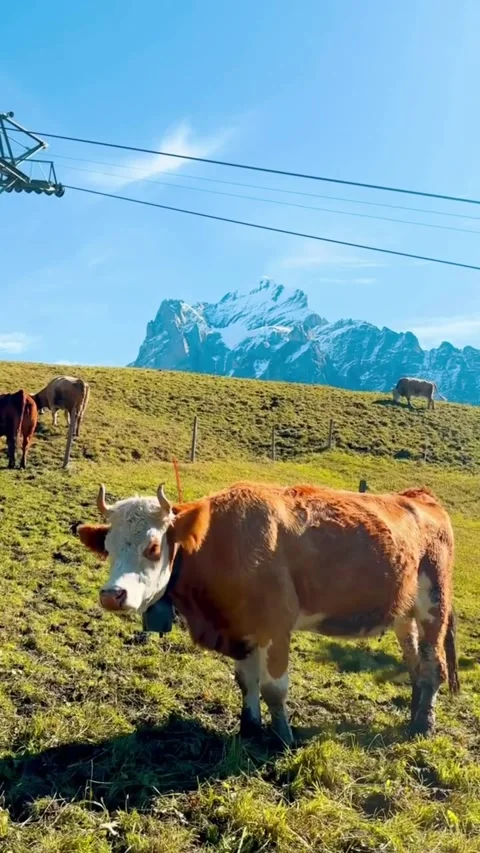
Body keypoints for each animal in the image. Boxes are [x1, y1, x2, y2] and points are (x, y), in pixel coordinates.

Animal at [76, 480, 459, 745]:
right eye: (108, 547)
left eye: (154, 547)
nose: (112, 595)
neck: (223, 542)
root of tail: (419, 496)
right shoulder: (241, 629)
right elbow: (247, 681)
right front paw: (249, 728)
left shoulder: (277, 625)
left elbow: (274, 687)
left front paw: (282, 737)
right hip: (403, 614)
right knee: (415, 663)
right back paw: (414, 714)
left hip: (434, 605)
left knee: (434, 666)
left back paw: (423, 725)